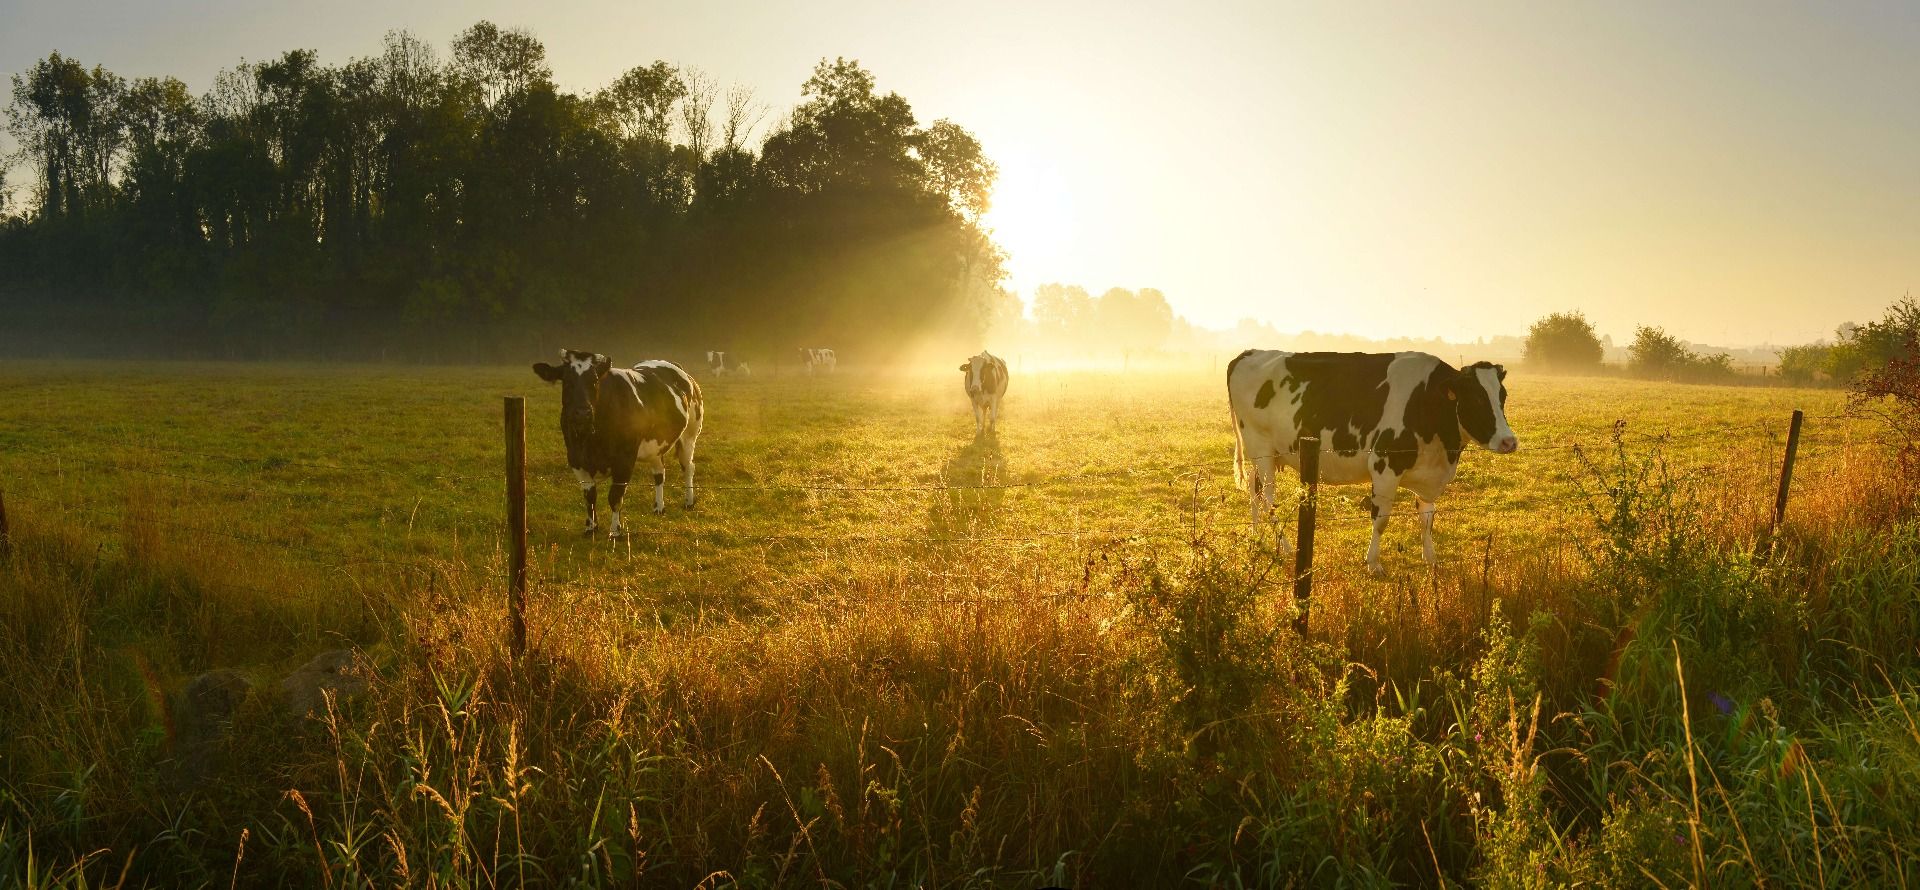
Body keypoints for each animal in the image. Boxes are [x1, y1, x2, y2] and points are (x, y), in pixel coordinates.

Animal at [532, 349, 704, 537]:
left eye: (594, 381)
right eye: (567, 381)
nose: (582, 413)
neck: (590, 439)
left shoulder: (624, 460)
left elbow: (615, 496)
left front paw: (615, 531)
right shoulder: (575, 459)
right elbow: (589, 496)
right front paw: (591, 528)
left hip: (690, 434)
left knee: (688, 467)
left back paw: (689, 502)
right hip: (656, 445)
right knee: (659, 473)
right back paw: (659, 507)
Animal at [1227, 350, 1518, 576]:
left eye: (1502, 396)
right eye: (1477, 398)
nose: (1509, 441)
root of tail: (1249, 353)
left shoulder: (1429, 474)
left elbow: (1427, 519)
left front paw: (1431, 559)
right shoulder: (1384, 466)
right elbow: (1381, 520)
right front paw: (1373, 563)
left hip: (1267, 454)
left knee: (1253, 490)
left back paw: (1257, 538)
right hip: (1261, 446)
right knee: (1267, 498)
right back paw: (1286, 547)